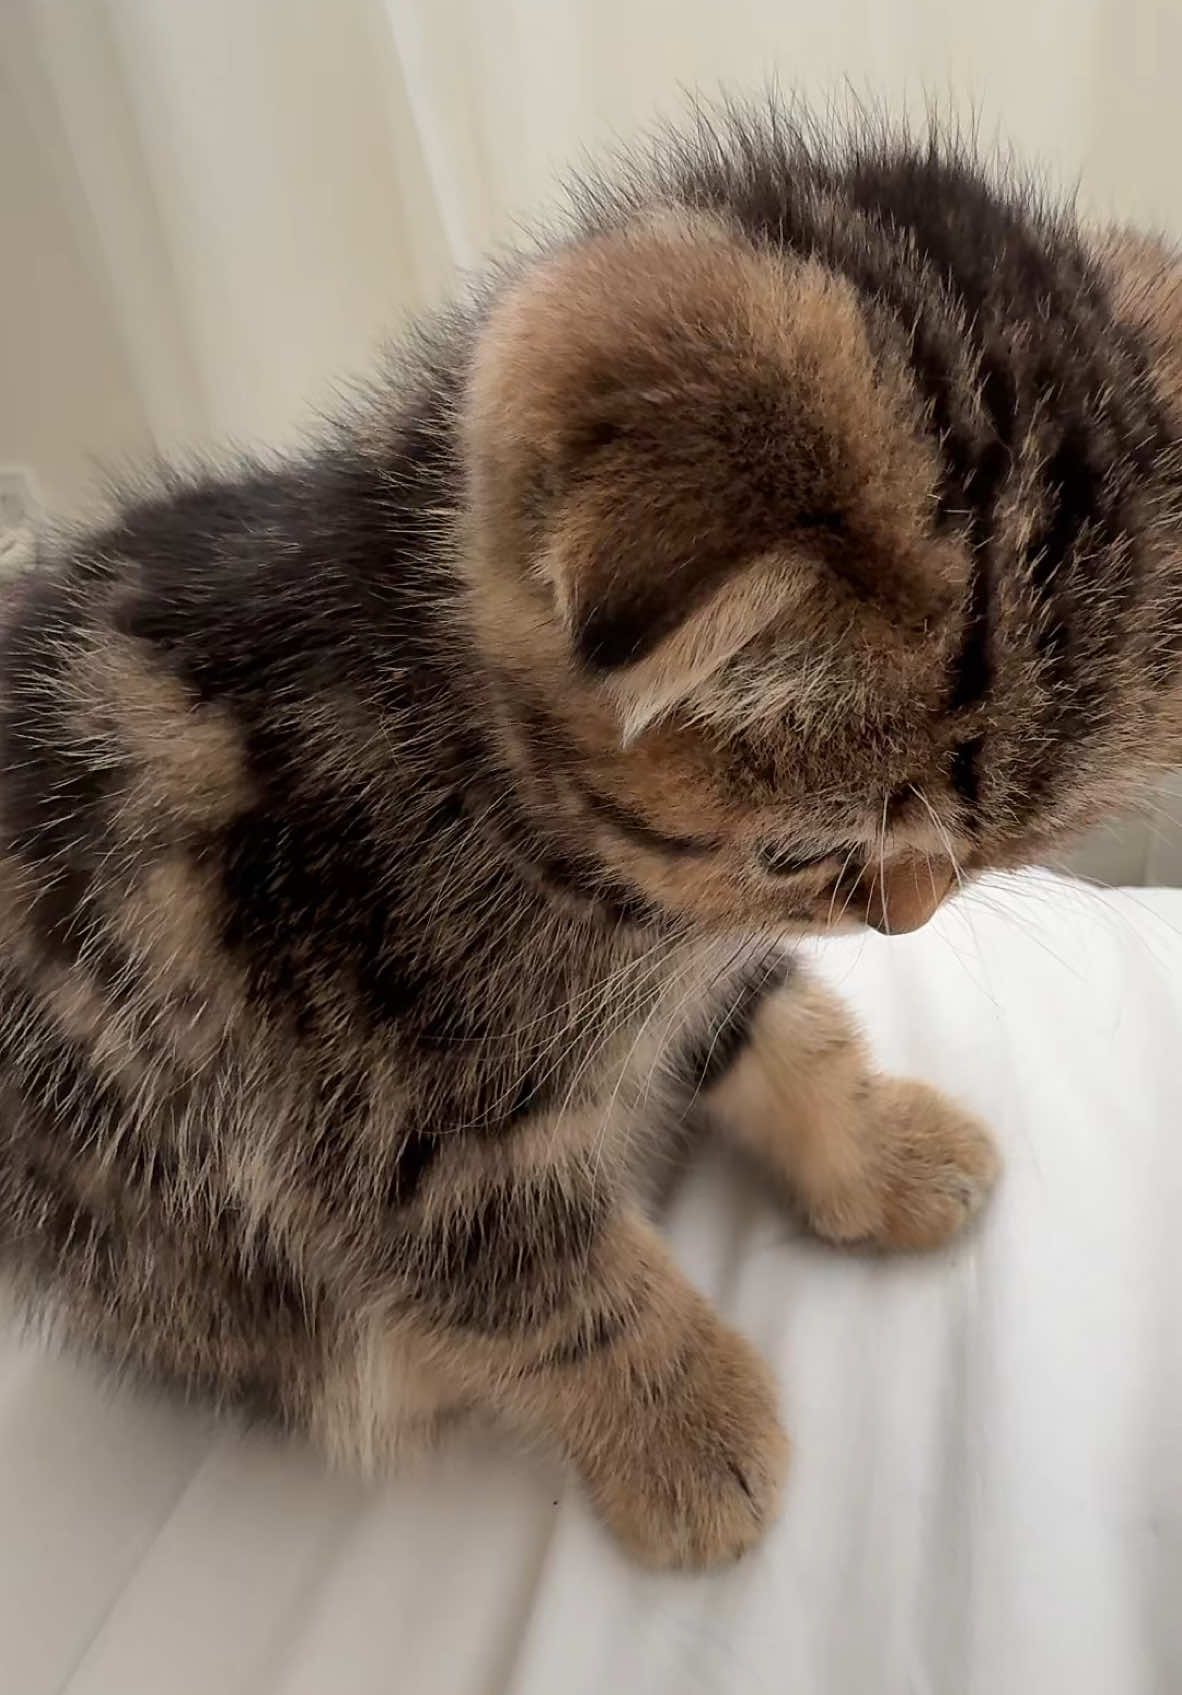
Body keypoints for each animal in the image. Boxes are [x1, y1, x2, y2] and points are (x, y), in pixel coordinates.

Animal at [2, 105, 1180, 1566]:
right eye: (811, 852)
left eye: (980, 861)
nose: (903, 915)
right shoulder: (378, 1125)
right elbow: (559, 1291)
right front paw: (690, 1432)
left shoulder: (701, 940)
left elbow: (773, 1016)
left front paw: (878, 1146)